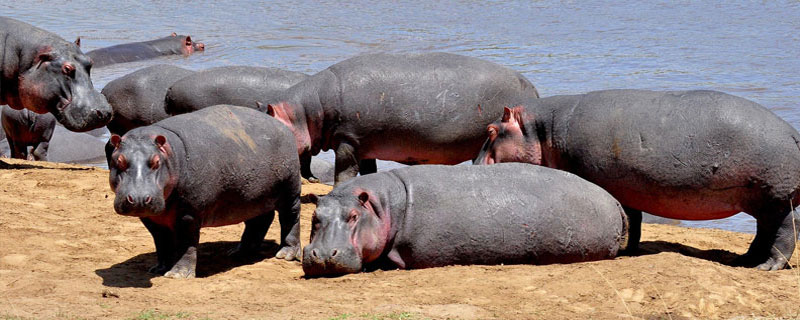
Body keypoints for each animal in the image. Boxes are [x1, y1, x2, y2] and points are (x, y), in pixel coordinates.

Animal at [108, 104, 302, 278]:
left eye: (156, 162)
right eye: (119, 160)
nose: (139, 199)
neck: (171, 155)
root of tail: (281, 125)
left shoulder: (189, 214)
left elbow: (186, 244)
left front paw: (177, 275)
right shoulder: (151, 217)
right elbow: (162, 243)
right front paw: (158, 269)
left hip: (290, 191)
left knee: (290, 218)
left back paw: (286, 254)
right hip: (254, 197)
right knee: (259, 221)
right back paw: (238, 252)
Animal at [266, 51, 540, 184]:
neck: (305, 111)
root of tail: (534, 89)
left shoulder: (348, 140)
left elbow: (343, 172)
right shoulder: (364, 144)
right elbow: (368, 170)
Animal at [472, 89, 800, 270]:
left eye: (490, 130)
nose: (471, 166)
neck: (542, 130)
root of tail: (792, 132)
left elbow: (628, 219)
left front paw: (622, 250)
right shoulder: (628, 188)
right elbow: (634, 220)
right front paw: (629, 250)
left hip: (775, 200)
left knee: (784, 234)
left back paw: (766, 267)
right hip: (761, 202)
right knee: (763, 234)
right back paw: (744, 261)